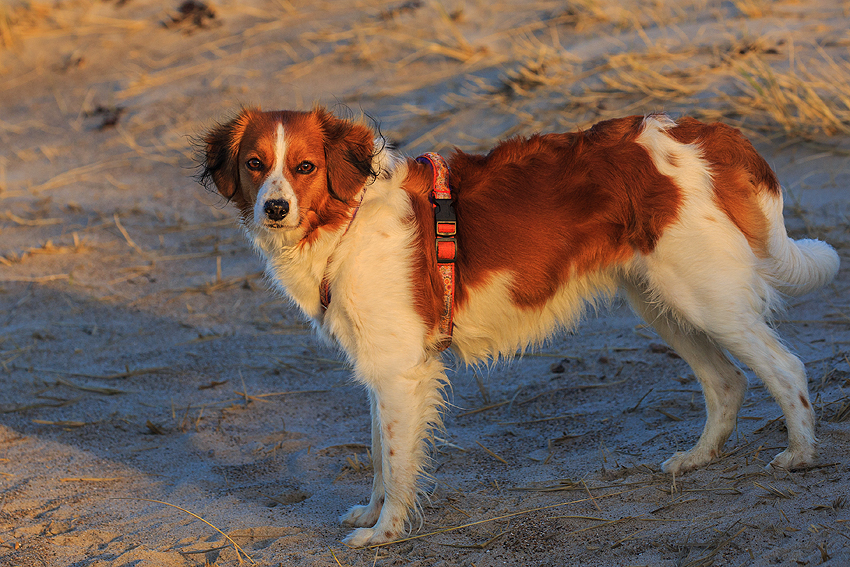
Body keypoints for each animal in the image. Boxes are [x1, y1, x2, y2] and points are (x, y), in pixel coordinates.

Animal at [197, 106, 836, 544]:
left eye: (304, 167)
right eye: (255, 166)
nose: (274, 208)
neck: (345, 219)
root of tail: (705, 132)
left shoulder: (401, 370)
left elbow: (397, 462)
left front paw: (384, 535)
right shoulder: (382, 367)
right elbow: (380, 454)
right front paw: (372, 514)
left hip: (704, 297)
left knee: (786, 367)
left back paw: (801, 455)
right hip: (662, 301)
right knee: (726, 382)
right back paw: (698, 458)